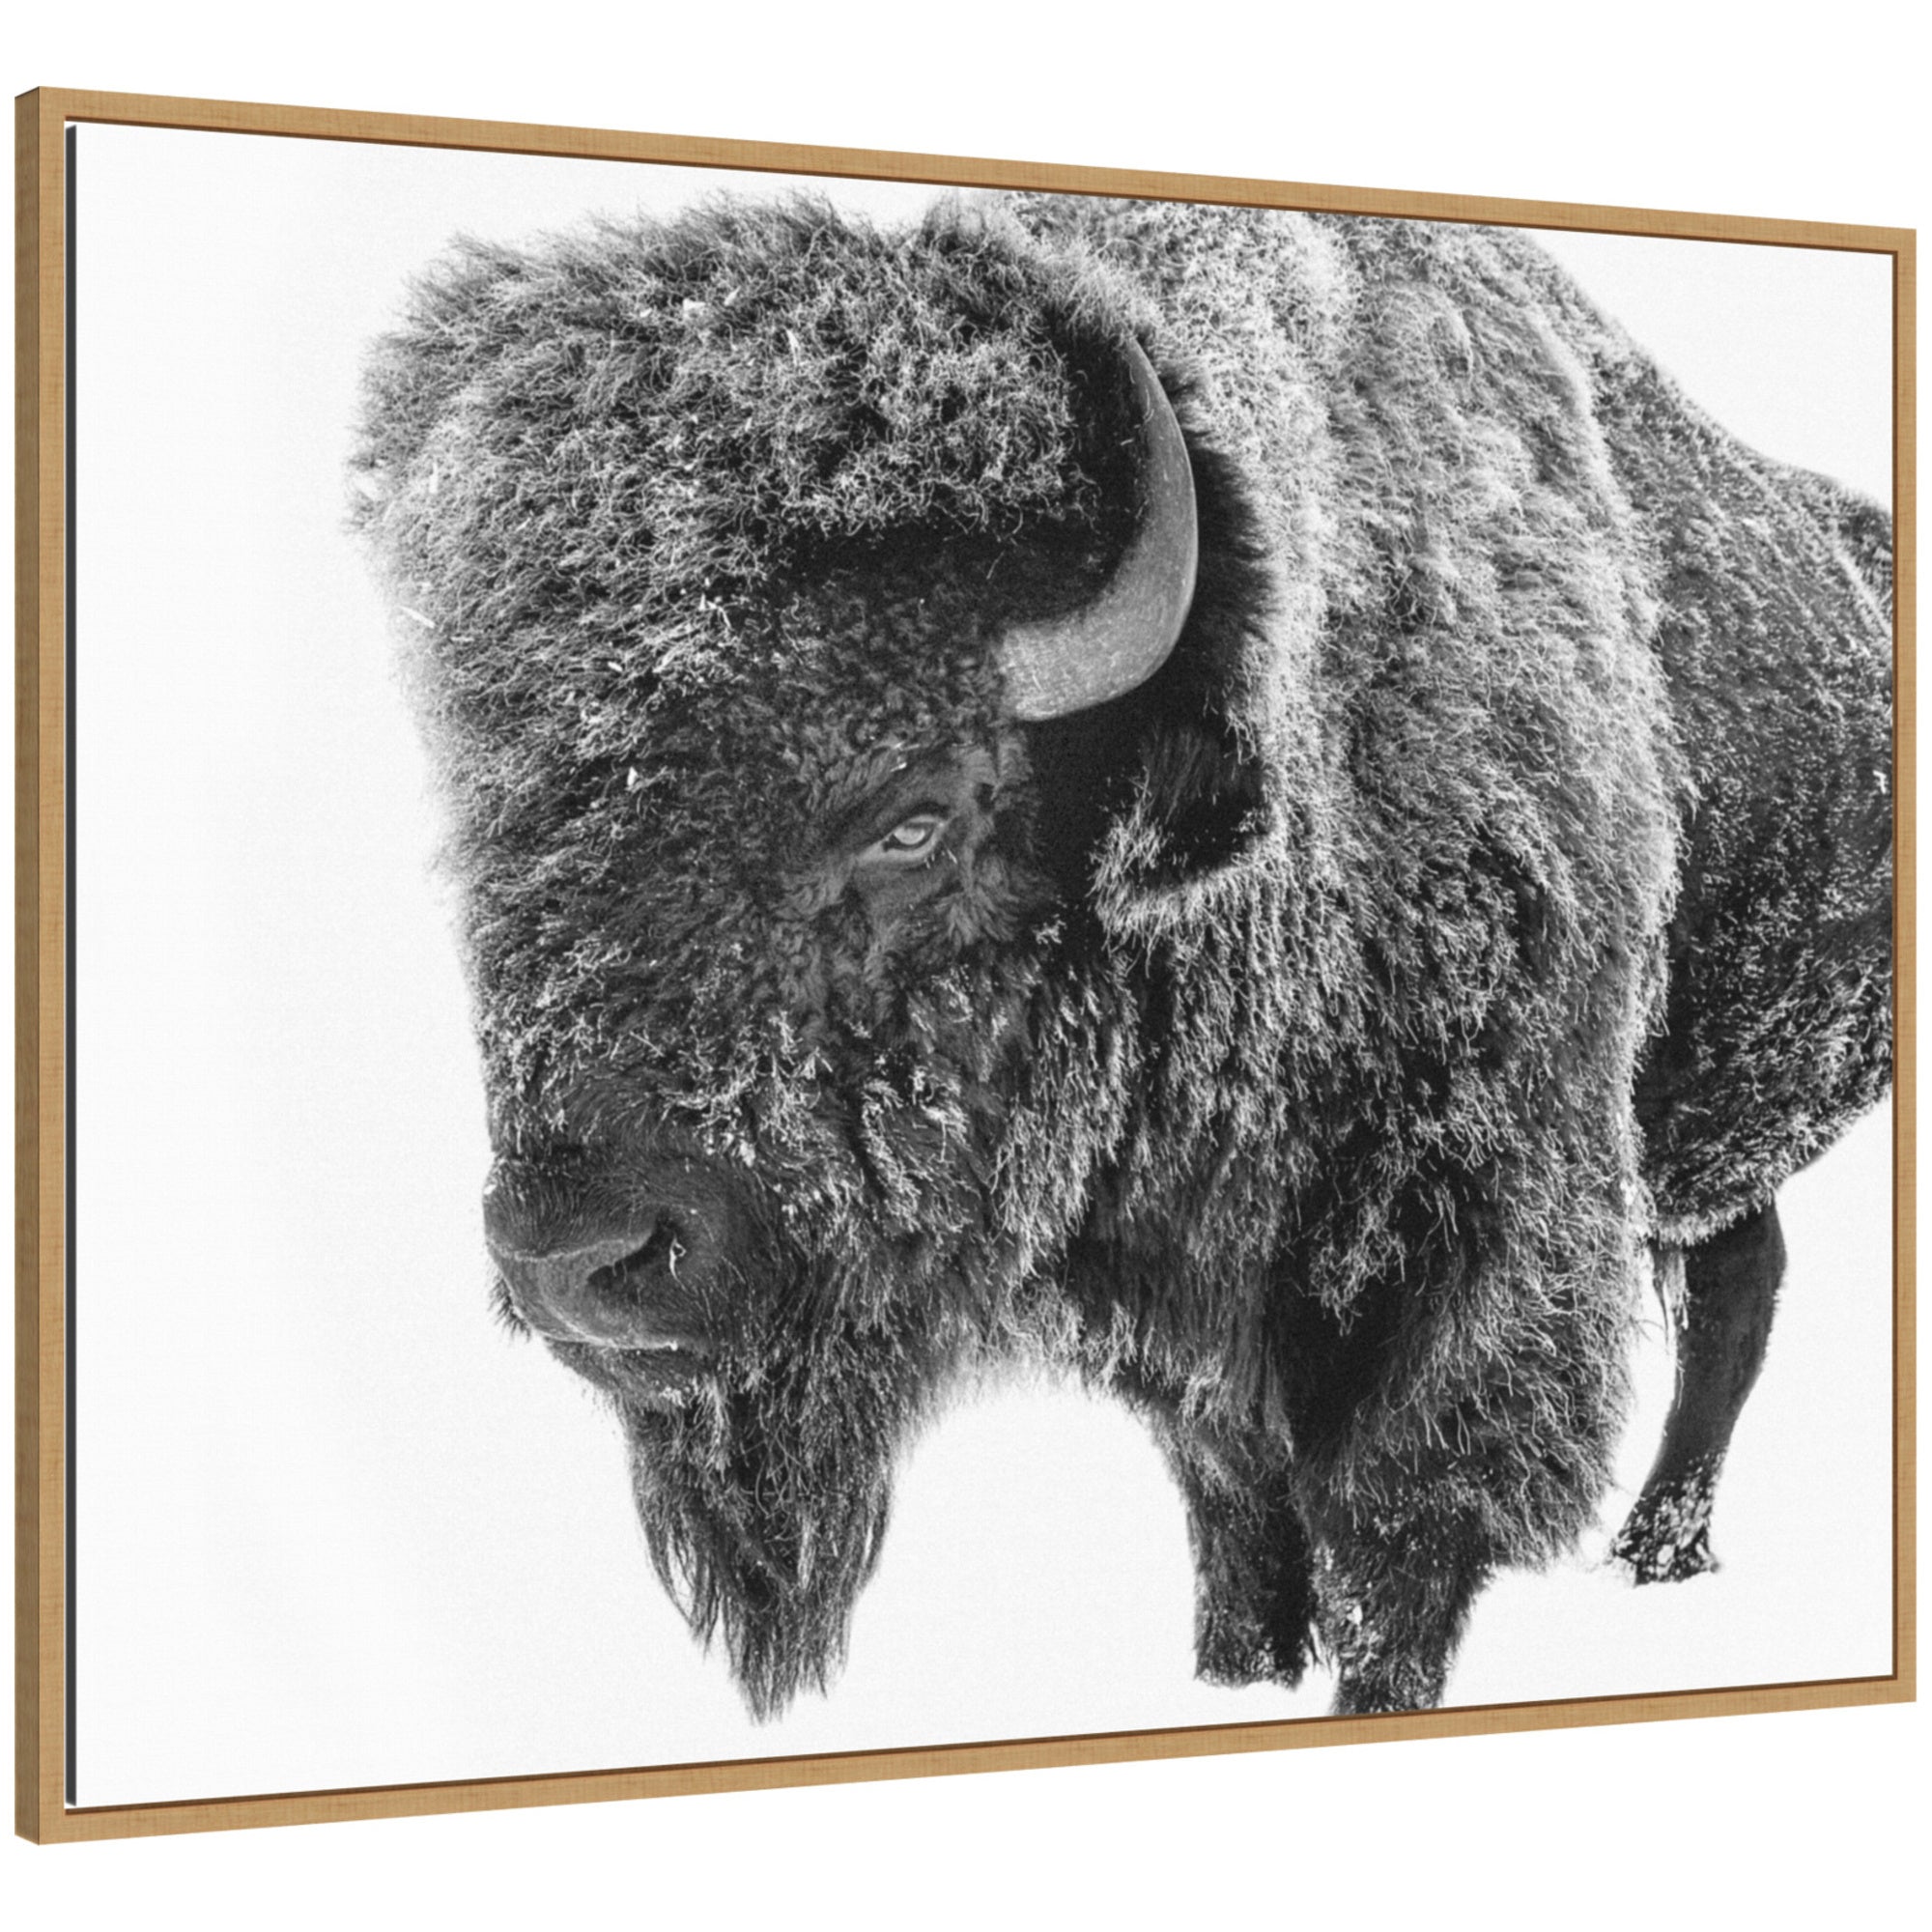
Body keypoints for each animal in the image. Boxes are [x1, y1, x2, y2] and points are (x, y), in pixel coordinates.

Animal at [352, 193, 1891, 1718]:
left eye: (913, 812)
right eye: (496, 816)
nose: (580, 1255)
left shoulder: (1467, 1261)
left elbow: (1394, 1541)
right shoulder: (1185, 1330)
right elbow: (1239, 1522)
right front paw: (1235, 1672)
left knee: (1731, 1298)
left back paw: (1661, 1551)